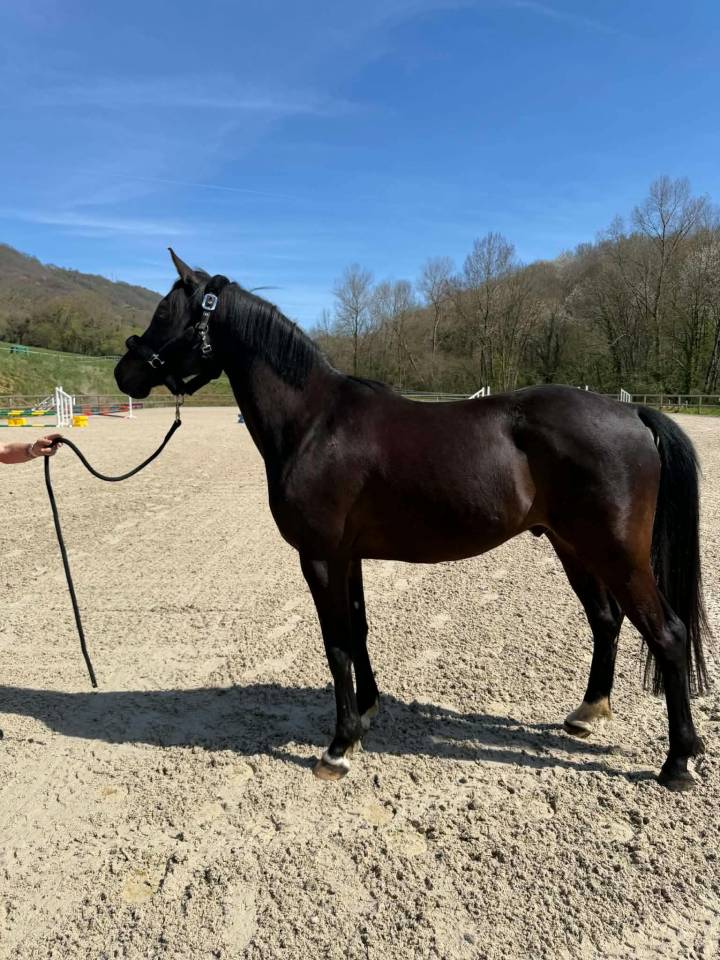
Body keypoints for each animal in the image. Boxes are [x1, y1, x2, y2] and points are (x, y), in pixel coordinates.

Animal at [114, 249, 710, 792]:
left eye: (165, 311)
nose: (126, 372)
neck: (315, 422)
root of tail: (631, 411)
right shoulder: (347, 556)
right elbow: (357, 632)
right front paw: (365, 716)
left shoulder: (320, 557)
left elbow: (335, 643)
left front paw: (337, 748)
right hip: (574, 547)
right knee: (606, 620)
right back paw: (588, 714)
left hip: (617, 554)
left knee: (668, 634)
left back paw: (678, 762)